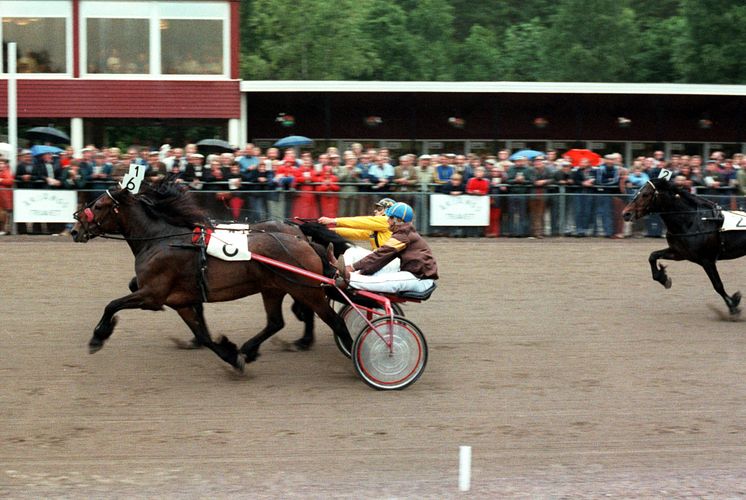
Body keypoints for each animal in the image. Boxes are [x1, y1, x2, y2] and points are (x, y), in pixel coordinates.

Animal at [71, 181, 350, 372]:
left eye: (98, 206)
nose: (75, 230)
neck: (161, 239)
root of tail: (303, 240)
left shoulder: (152, 294)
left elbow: (112, 304)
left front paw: (98, 336)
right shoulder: (180, 301)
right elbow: (203, 334)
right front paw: (230, 354)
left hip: (306, 289)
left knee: (333, 320)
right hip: (274, 288)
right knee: (275, 323)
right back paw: (253, 349)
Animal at [616, 178, 744, 314]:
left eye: (645, 194)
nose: (626, 213)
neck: (693, 221)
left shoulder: (707, 260)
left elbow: (718, 285)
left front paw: (733, 304)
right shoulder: (680, 253)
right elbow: (653, 256)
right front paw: (663, 278)